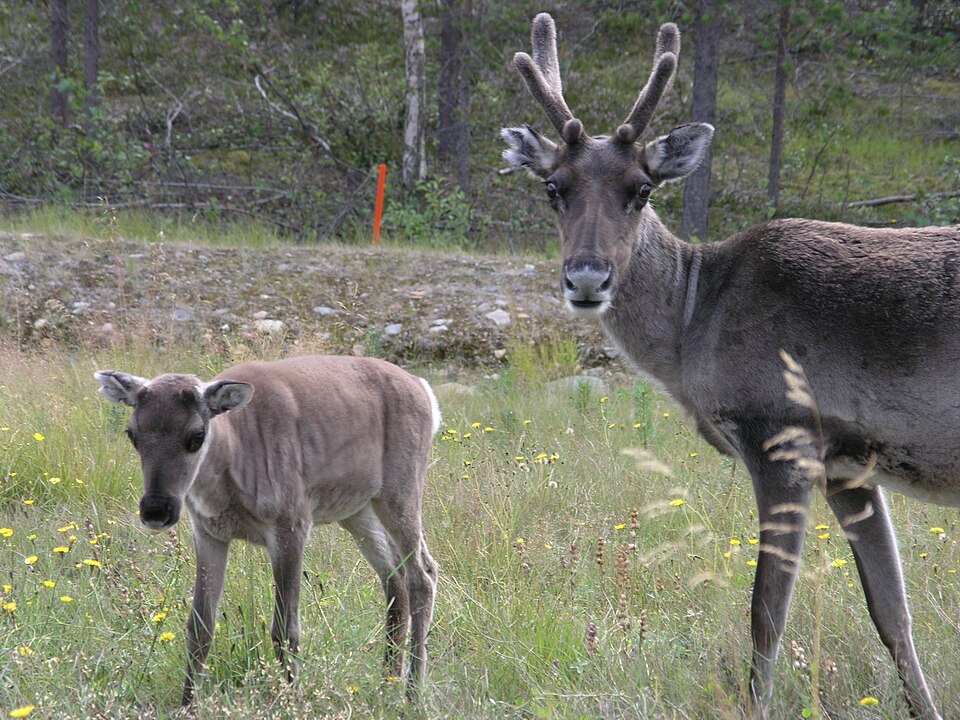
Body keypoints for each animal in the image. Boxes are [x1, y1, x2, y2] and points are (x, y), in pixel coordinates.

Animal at [94, 355, 441, 705]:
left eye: (197, 435)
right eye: (132, 434)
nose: (156, 510)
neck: (231, 459)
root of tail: (425, 391)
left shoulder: (292, 522)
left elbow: (286, 630)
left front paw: (289, 699)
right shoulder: (208, 533)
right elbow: (200, 626)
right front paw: (188, 703)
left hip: (400, 490)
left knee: (423, 573)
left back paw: (412, 692)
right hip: (358, 510)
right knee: (394, 575)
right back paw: (388, 681)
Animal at [501, 13, 959, 720]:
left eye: (642, 190)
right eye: (554, 189)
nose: (586, 278)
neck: (696, 324)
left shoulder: (780, 432)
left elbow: (766, 614)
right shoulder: (849, 464)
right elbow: (893, 615)